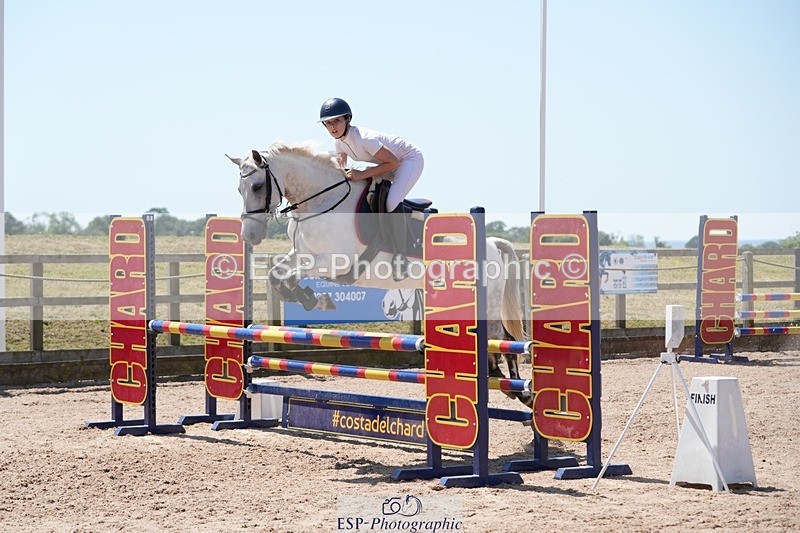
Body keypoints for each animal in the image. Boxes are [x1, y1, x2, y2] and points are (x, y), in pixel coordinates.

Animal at [228, 142, 531, 407]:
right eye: (238, 189)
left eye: (257, 186)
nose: (250, 236)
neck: (322, 201)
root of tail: (492, 243)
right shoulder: (301, 256)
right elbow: (277, 274)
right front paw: (306, 296)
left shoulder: (332, 263)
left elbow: (289, 277)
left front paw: (311, 297)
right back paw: (503, 382)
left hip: (486, 300)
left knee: (502, 337)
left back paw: (519, 390)